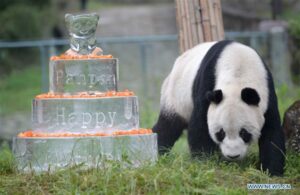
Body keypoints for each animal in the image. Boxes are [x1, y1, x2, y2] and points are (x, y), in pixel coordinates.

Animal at [154, 40, 288, 176]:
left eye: (244, 132)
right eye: (221, 133)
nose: (233, 156)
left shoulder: (267, 93)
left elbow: (272, 132)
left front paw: (272, 172)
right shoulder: (208, 83)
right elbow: (200, 125)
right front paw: (204, 163)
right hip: (176, 95)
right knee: (168, 126)